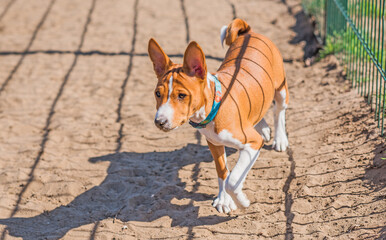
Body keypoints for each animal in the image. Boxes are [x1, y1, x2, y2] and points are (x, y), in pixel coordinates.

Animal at [148, 19, 290, 214]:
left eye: (182, 95)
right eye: (157, 94)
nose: (159, 122)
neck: (214, 108)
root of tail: (250, 33)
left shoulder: (252, 143)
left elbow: (233, 180)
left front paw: (242, 201)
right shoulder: (214, 144)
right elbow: (223, 173)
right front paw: (224, 200)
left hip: (280, 89)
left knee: (279, 111)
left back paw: (280, 138)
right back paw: (263, 127)